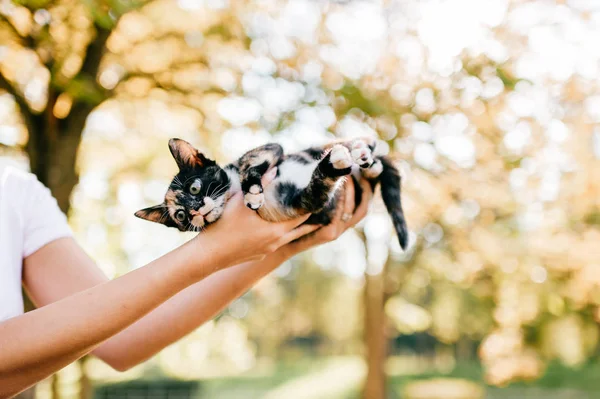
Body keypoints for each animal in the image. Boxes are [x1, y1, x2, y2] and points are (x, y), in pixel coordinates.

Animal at [135, 139, 408, 248]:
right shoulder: (302, 206)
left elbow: (251, 162)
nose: (195, 211)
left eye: (195, 187)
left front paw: (253, 190)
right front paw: (333, 165)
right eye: (180, 216)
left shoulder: (271, 149)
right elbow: (318, 188)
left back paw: (363, 154)